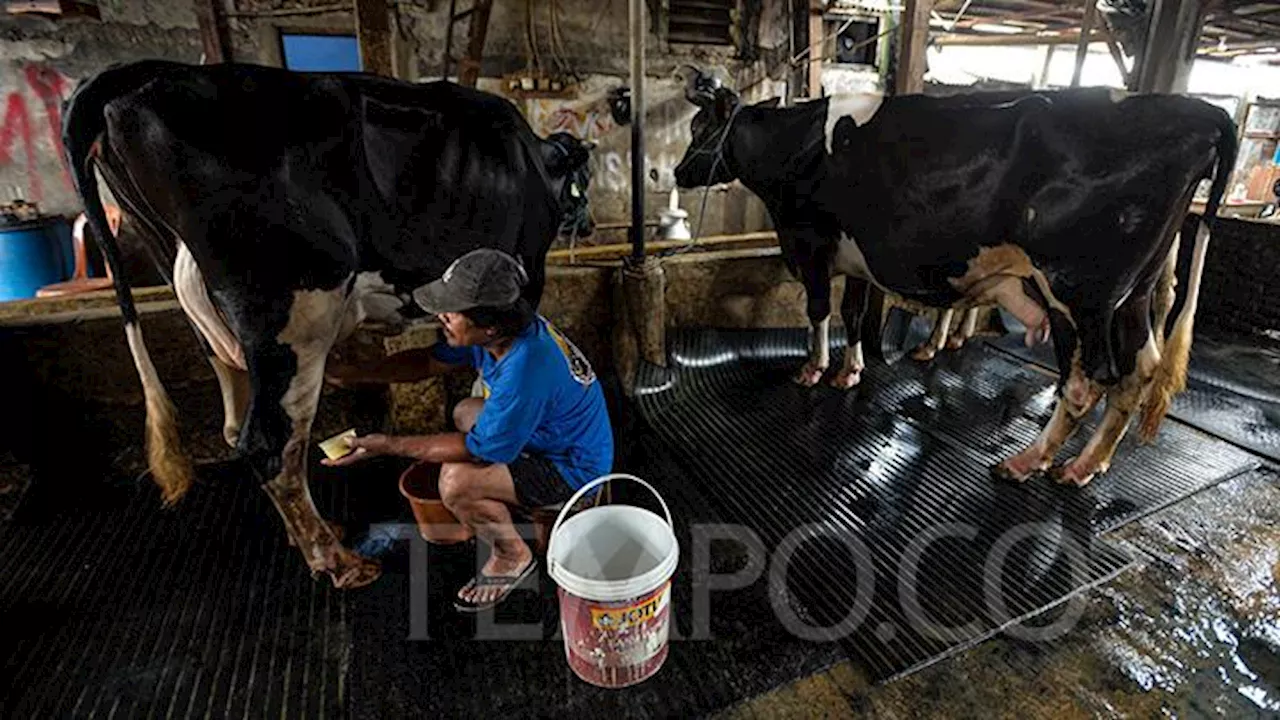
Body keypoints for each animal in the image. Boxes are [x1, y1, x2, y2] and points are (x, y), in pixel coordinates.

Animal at [64, 60, 593, 589]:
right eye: (582, 181)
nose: (587, 226)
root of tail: (142, 73)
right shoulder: (527, 276)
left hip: (199, 305)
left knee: (238, 427)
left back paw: (312, 534)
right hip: (295, 308)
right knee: (268, 443)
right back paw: (338, 561)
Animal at [675, 70, 1233, 484]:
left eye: (700, 128)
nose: (679, 173)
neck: (798, 142)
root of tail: (1199, 112)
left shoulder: (810, 244)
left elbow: (818, 311)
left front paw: (813, 369)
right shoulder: (856, 257)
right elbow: (853, 315)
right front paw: (850, 370)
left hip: (1076, 295)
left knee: (1084, 384)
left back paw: (1029, 461)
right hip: (1133, 295)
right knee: (1139, 373)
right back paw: (1085, 466)